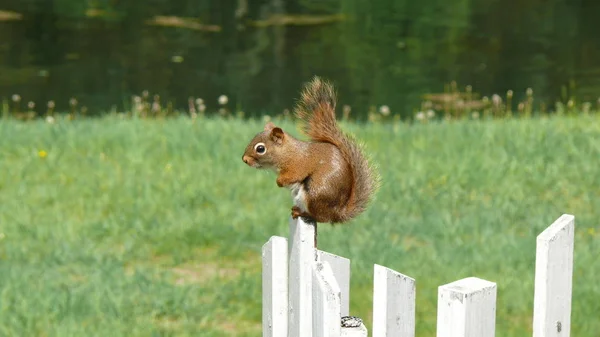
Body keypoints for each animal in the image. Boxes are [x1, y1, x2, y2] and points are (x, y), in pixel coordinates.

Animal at [240, 76, 378, 227]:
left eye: (260, 149)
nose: (244, 159)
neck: (287, 153)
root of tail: (337, 214)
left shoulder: (298, 164)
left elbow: (294, 175)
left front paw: (279, 182)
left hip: (314, 192)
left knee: (320, 217)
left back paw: (303, 213)